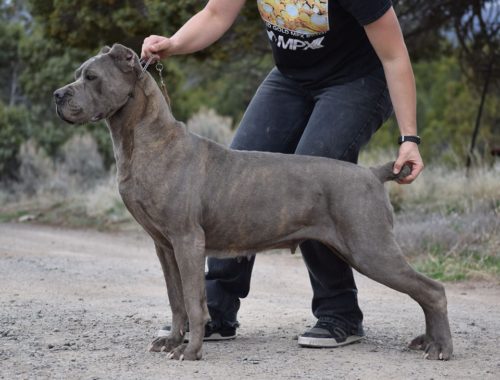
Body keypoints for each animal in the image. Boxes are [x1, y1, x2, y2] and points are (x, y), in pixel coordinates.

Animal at [53, 44, 454, 362]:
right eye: (76, 75)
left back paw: (440, 347)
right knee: (424, 292)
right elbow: (176, 299)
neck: (144, 140)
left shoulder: (187, 240)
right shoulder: (163, 245)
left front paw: (190, 350)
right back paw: (428, 341)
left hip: (371, 247)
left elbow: (195, 302)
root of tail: (372, 172)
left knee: (432, 290)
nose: (58, 95)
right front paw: (171, 341)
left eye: (91, 76)